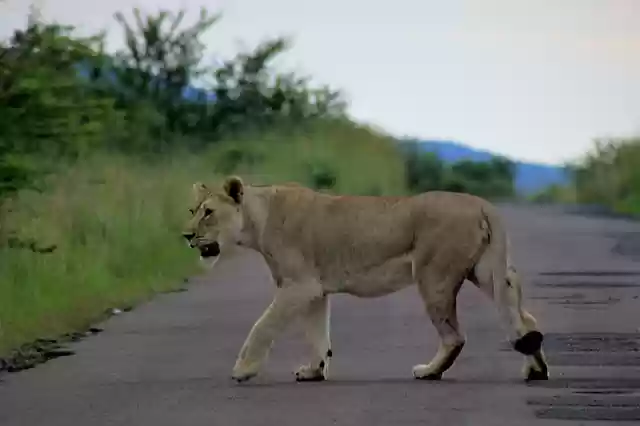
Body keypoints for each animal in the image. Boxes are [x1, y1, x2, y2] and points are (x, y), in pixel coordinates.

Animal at [182, 175, 549, 384]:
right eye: (192, 210)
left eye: (209, 212)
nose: (186, 236)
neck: (257, 219)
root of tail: (482, 203)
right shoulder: (314, 289)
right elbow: (317, 334)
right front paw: (314, 371)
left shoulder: (297, 285)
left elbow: (262, 326)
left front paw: (243, 369)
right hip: (485, 271)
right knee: (524, 318)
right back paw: (536, 370)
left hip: (434, 276)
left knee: (455, 336)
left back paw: (429, 371)